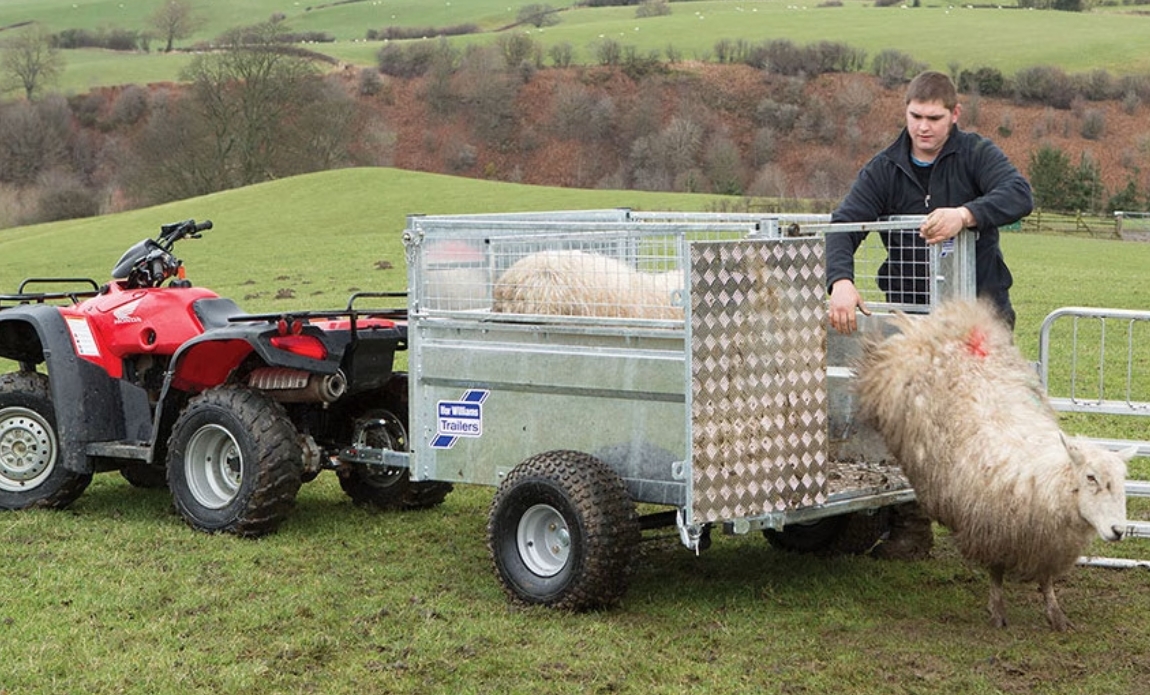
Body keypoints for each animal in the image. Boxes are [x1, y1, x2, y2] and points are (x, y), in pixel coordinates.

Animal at [853, 298, 1135, 631]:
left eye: (1122, 483)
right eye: (1091, 477)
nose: (1119, 530)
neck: (1043, 480)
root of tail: (939, 325)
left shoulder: (1048, 544)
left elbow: (1047, 580)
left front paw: (1054, 612)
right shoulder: (991, 530)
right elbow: (996, 572)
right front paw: (998, 610)